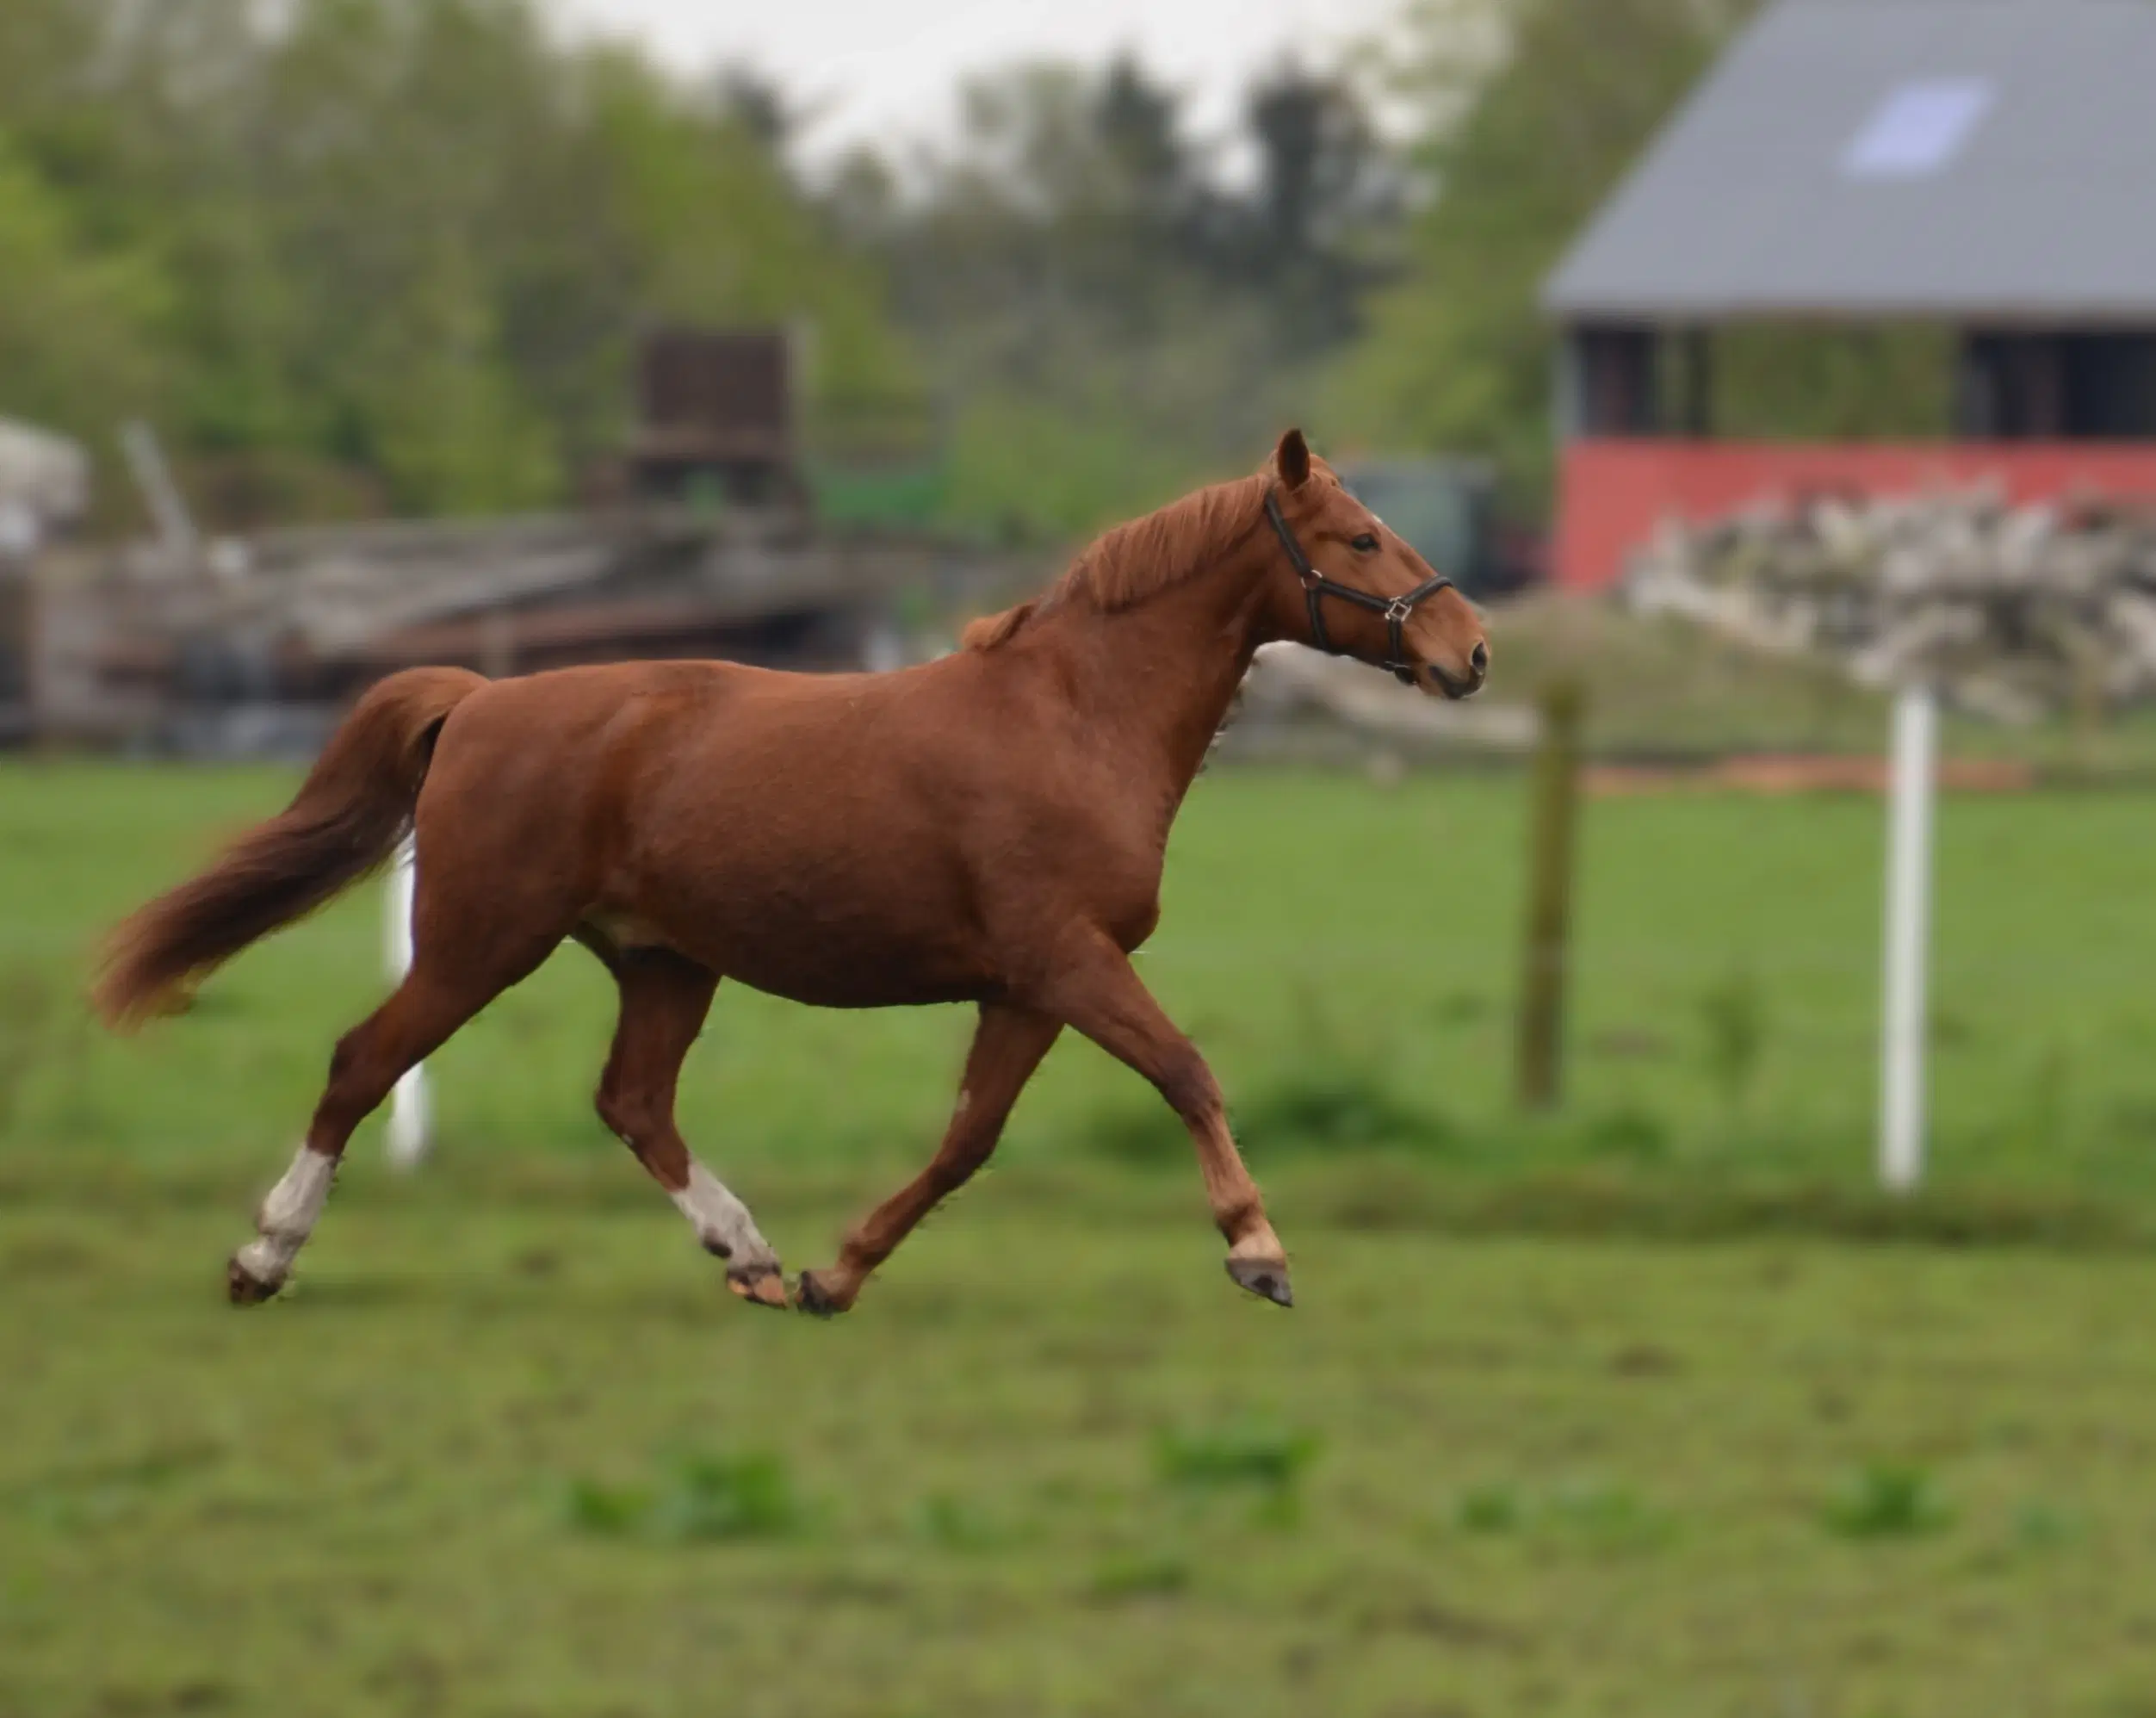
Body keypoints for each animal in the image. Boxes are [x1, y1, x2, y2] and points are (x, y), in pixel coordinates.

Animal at [96, 429, 1483, 1310]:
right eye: (1359, 537)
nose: (1469, 649)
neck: (1075, 718)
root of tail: (480, 696)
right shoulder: (1066, 960)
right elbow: (1187, 1073)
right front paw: (1259, 1250)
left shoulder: (1028, 987)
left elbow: (968, 1141)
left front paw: (837, 1272)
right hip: (480, 942)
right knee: (361, 1063)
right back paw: (264, 1258)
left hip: (664, 963)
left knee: (632, 1102)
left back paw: (751, 1254)